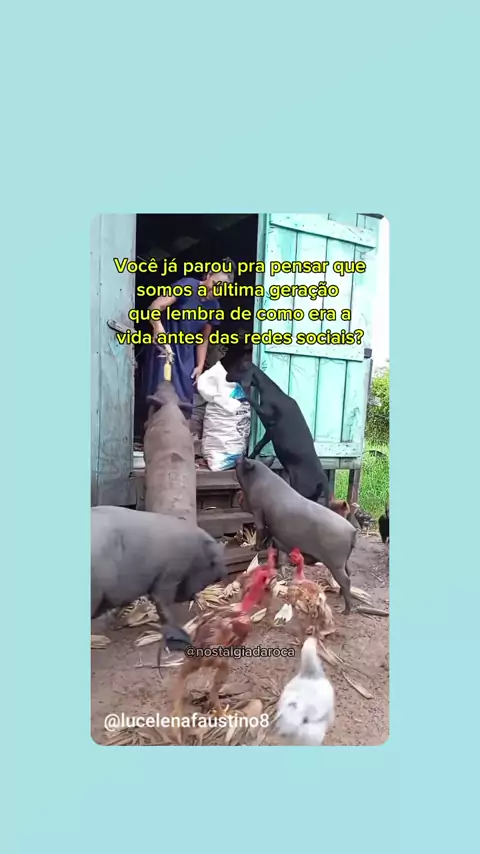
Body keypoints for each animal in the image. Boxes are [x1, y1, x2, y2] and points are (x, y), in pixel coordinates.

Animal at [235, 458, 357, 613]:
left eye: (241, 462)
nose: (237, 459)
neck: (258, 481)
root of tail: (352, 531)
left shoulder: (257, 510)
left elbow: (261, 529)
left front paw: (254, 549)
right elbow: (276, 547)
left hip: (335, 562)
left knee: (346, 580)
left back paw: (345, 611)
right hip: (343, 560)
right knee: (350, 573)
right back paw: (340, 596)